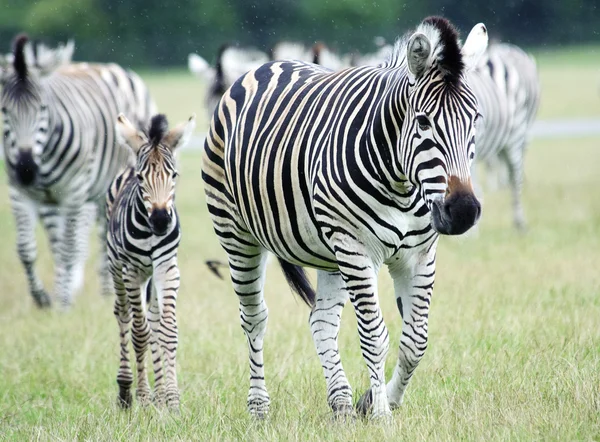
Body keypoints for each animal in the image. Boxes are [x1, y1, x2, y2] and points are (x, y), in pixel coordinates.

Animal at [0, 34, 157, 310]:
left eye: (43, 108)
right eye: (4, 111)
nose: (26, 169)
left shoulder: (73, 191)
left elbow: (68, 247)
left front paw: (63, 302)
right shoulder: (19, 192)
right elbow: (26, 249)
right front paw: (43, 298)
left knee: (101, 238)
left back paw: (105, 290)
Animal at [105, 112, 195, 410]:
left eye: (174, 175)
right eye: (142, 178)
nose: (160, 221)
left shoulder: (167, 268)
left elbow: (166, 331)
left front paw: (172, 399)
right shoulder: (132, 271)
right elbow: (139, 333)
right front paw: (143, 397)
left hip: (151, 276)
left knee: (153, 319)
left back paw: (160, 395)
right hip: (117, 269)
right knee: (123, 315)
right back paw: (127, 391)